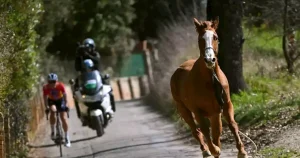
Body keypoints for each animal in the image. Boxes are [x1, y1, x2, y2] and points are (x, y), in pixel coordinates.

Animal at [170, 17, 247, 158]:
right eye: (200, 38)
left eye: (215, 37)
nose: (210, 59)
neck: (211, 79)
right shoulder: (197, 111)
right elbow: (205, 130)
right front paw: (214, 150)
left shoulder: (226, 105)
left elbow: (232, 125)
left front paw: (242, 151)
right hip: (184, 110)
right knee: (196, 131)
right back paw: (206, 151)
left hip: (214, 115)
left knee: (215, 134)